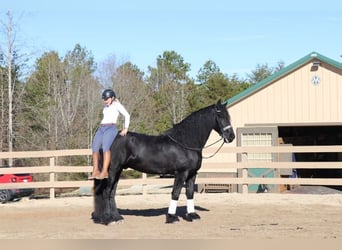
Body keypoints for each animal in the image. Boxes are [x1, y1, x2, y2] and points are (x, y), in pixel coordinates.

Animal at [91, 100, 235, 226]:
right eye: (220, 115)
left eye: (228, 116)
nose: (231, 136)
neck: (185, 141)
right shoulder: (181, 173)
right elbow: (175, 193)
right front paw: (171, 218)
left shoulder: (192, 174)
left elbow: (189, 193)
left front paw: (192, 215)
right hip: (112, 170)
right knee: (106, 192)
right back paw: (109, 220)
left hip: (118, 170)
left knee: (112, 193)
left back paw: (117, 217)